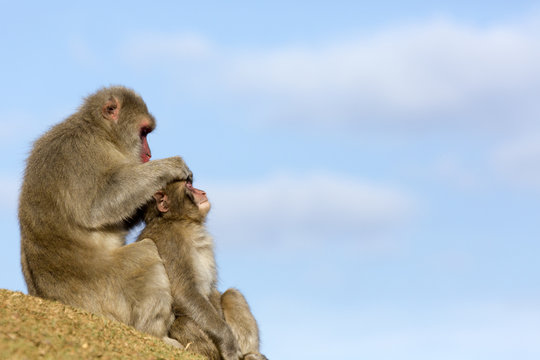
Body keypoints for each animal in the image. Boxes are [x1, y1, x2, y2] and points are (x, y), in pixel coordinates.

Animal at [19, 85, 192, 346]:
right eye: (144, 133)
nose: (149, 154)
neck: (100, 132)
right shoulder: (82, 152)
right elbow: (99, 206)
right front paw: (169, 166)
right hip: (103, 296)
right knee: (145, 252)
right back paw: (155, 334)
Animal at [138, 183, 266, 360]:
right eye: (188, 186)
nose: (202, 192)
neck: (178, 219)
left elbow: (212, 291)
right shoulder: (171, 241)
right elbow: (184, 293)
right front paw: (228, 342)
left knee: (232, 295)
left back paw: (251, 354)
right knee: (183, 323)